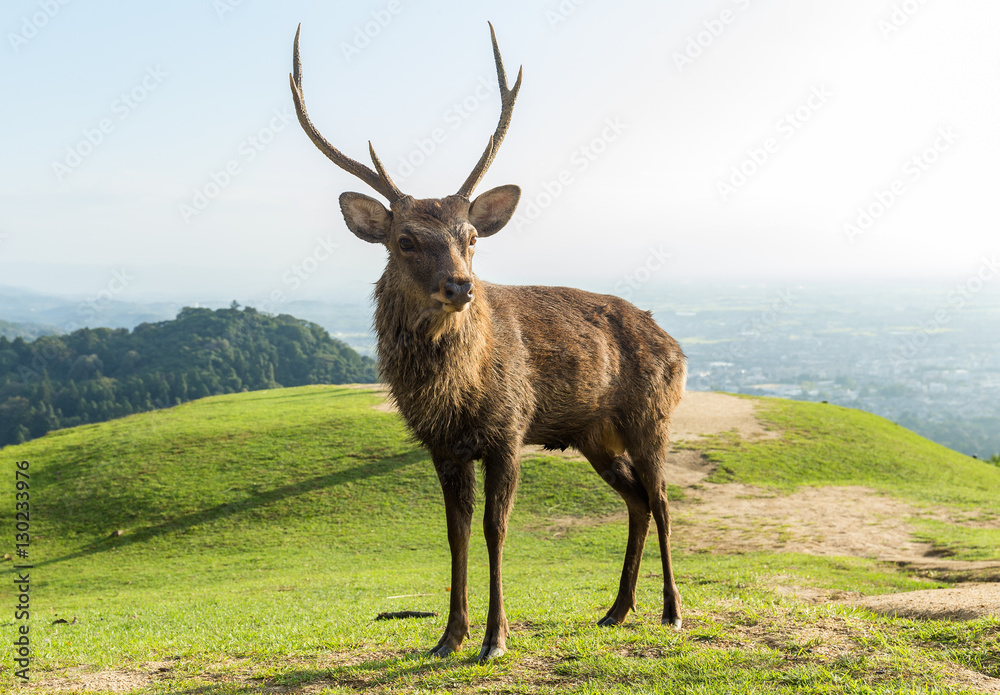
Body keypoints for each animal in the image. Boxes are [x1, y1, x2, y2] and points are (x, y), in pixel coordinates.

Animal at [289, 22, 687, 663]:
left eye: (471, 235)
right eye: (405, 240)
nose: (461, 286)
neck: (458, 395)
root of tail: (675, 345)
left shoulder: (509, 430)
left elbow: (494, 530)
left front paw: (495, 637)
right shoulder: (442, 447)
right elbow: (454, 534)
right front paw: (450, 635)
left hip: (652, 414)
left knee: (664, 500)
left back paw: (671, 611)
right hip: (594, 434)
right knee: (636, 500)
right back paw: (616, 610)